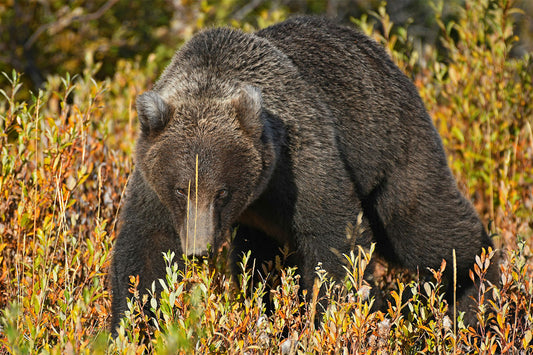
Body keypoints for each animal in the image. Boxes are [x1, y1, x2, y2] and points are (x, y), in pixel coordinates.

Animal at [110, 16, 496, 334]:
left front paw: (330, 321)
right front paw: (130, 329)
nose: (198, 248)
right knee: (257, 263)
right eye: (180, 189)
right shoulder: (151, 180)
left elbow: (336, 237)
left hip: (393, 148)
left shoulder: (301, 157)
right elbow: (145, 249)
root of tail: (384, 56)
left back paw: (479, 296)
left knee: (423, 229)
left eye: (222, 192)